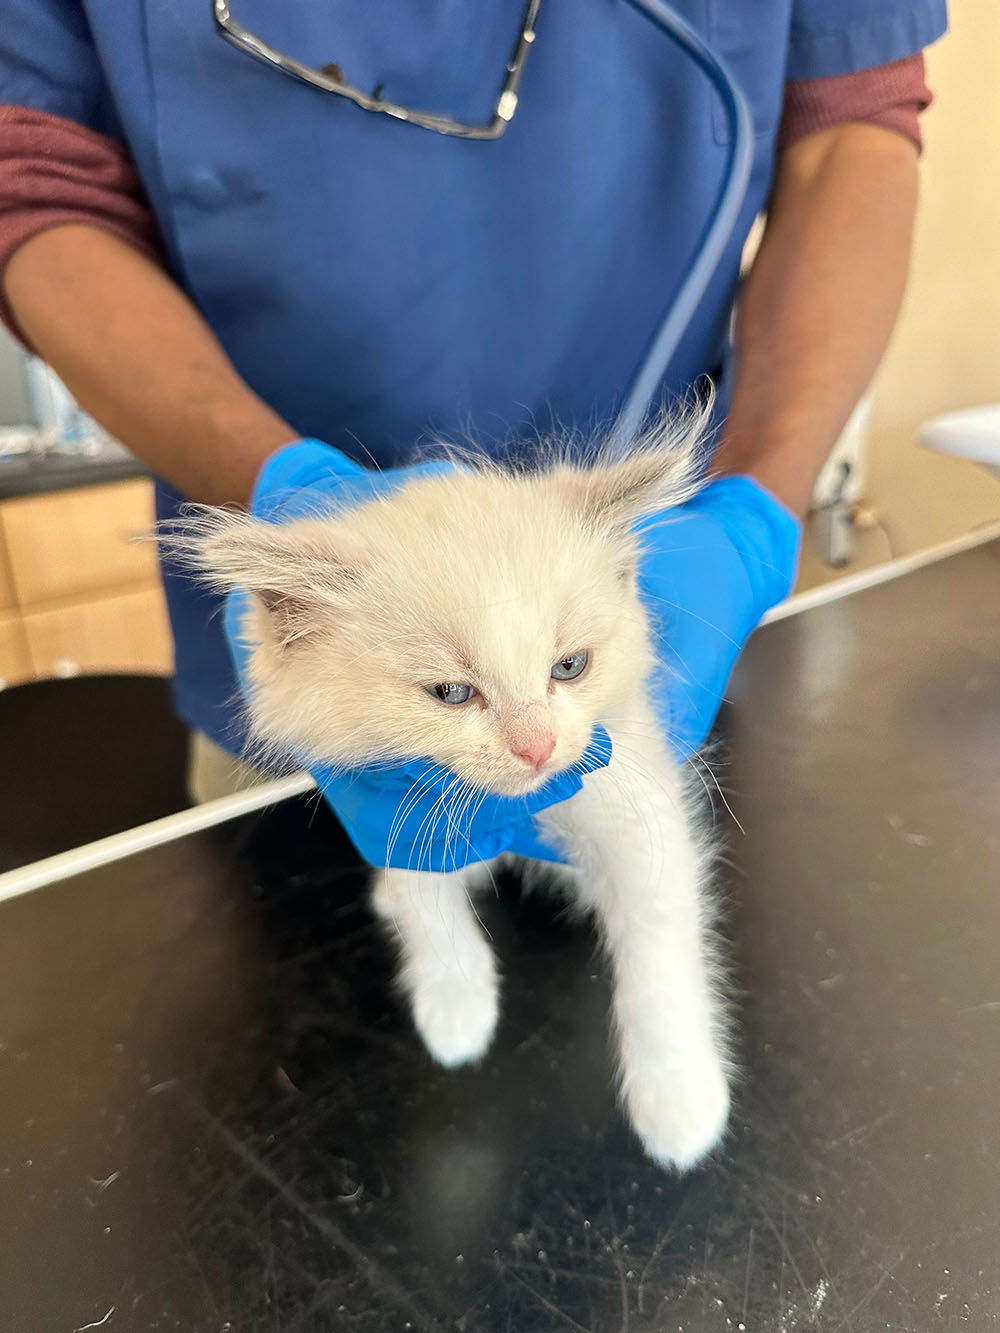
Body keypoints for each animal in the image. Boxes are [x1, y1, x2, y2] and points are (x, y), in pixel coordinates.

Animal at [176, 421, 730, 1173]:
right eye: (451, 692)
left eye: (569, 666)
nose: (537, 748)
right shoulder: (398, 812)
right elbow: (430, 912)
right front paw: (456, 1009)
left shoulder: (637, 803)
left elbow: (660, 953)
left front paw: (678, 1101)